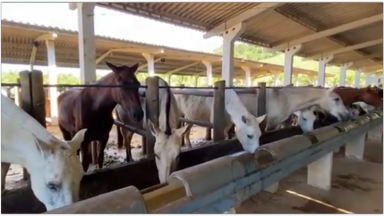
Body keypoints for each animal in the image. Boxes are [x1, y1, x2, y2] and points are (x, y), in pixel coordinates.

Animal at [176, 87, 350, 149]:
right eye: (336, 99)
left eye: (314, 119)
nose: (347, 114)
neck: (284, 98)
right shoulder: (271, 123)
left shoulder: (280, 122)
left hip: (189, 118)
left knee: (186, 131)